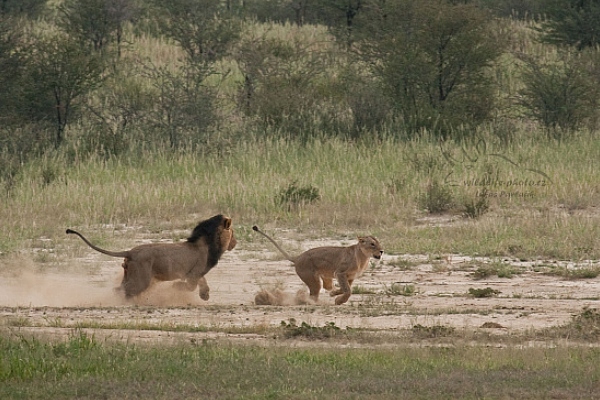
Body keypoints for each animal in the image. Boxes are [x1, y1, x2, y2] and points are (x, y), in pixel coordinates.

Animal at [67, 214, 237, 298]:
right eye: (233, 233)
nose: (235, 242)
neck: (208, 243)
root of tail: (130, 252)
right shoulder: (193, 273)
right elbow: (191, 287)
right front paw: (176, 287)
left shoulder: (196, 273)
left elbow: (203, 282)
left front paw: (205, 295)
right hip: (141, 279)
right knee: (124, 291)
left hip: (130, 276)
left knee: (119, 288)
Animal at [253, 223, 384, 304]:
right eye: (372, 244)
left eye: (378, 242)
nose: (382, 251)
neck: (363, 258)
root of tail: (298, 257)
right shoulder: (340, 272)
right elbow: (348, 290)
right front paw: (339, 301)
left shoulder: (350, 276)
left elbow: (345, 288)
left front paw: (334, 294)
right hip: (312, 280)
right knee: (314, 294)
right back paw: (313, 303)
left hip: (325, 277)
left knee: (326, 287)